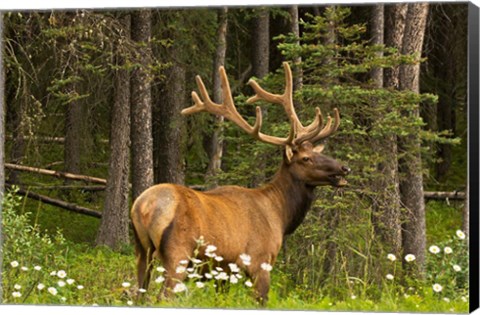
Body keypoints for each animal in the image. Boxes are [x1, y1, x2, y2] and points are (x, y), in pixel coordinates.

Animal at [130, 61, 348, 304]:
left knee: (138, 293)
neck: (280, 215)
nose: (343, 168)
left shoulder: (224, 272)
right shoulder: (260, 261)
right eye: (306, 158)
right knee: (164, 296)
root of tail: (143, 207)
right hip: (178, 253)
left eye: (318, 153)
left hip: (141, 251)